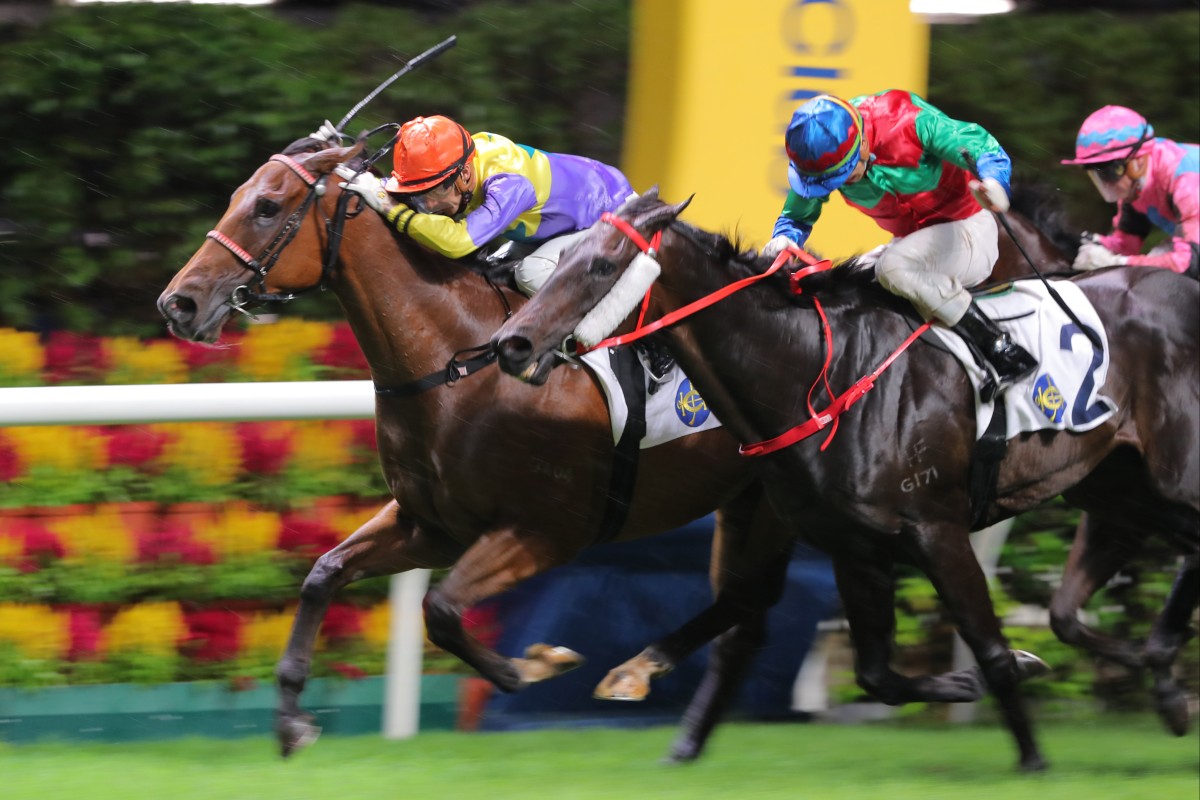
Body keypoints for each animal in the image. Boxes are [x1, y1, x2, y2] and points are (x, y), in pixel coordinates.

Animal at [494, 190, 1200, 772]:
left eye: (600, 267)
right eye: (560, 257)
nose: (512, 344)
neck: (818, 376)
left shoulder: (937, 531)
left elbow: (990, 651)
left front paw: (1032, 759)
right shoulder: (857, 547)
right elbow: (877, 675)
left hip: (1172, 479)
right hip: (1120, 488)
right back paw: (1164, 680)